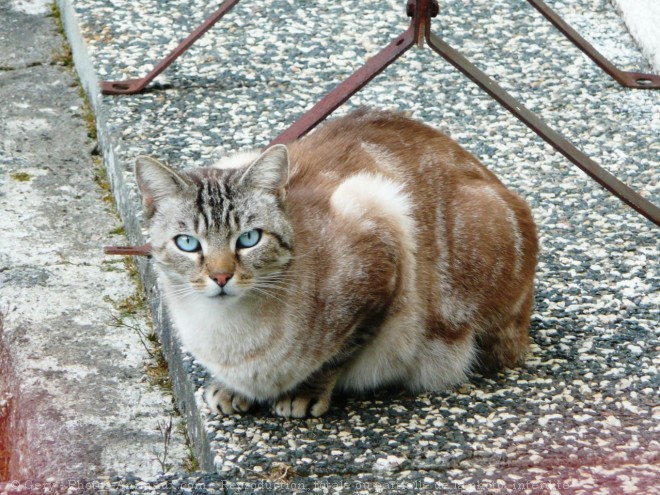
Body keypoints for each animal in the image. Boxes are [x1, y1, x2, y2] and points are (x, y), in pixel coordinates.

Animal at [134, 108, 536, 418]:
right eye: (188, 244)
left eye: (249, 239)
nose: (220, 277)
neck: (225, 335)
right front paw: (231, 390)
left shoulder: (381, 244)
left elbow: (335, 357)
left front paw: (302, 393)